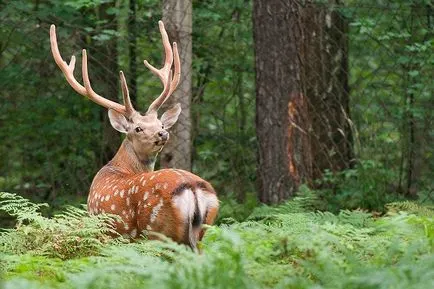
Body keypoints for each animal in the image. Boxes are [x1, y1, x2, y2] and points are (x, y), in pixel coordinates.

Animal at [49, 20, 219, 250]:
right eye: (138, 128)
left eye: (160, 123)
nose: (163, 132)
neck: (118, 167)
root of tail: (192, 189)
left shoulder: (103, 232)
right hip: (201, 232)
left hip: (158, 231)